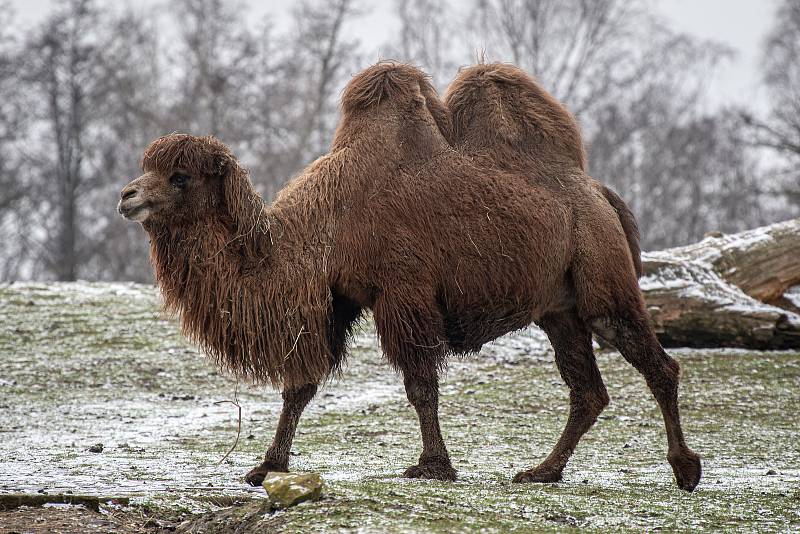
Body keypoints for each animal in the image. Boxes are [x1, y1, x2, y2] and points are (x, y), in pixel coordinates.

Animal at [117, 60, 700, 492]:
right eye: (150, 168)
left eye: (180, 176)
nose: (127, 196)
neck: (323, 225)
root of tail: (600, 193)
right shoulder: (338, 299)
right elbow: (300, 386)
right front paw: (266, 467)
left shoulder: (401, 293)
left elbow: (420, 384)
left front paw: (433, 466)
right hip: (559, 310)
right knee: (588, 391)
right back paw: (542, 471)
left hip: (603, 287)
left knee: (657, 365)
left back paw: (685, 469)